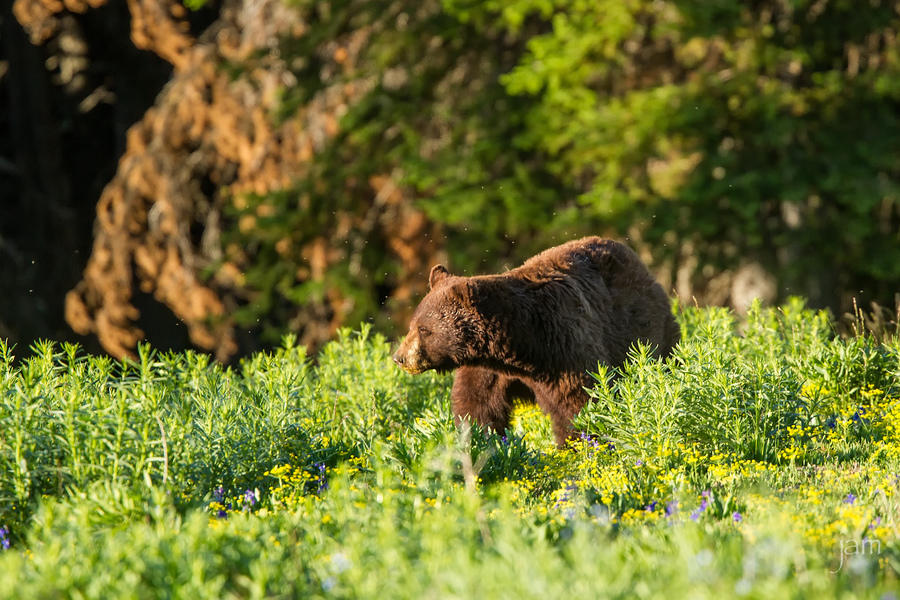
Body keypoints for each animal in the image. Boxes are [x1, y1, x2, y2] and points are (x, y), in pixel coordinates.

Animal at [390, 237, 680, 448]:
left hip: (648, 331)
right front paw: (479, 440)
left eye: (424, 329)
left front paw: (580, 446)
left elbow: (579, 404)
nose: (399, 357)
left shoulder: (566, 351)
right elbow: (476, 405)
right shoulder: (488, 369)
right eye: (412, 325)